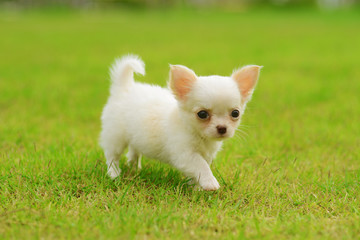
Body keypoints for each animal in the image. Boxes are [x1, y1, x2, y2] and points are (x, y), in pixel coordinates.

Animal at [99, 54, 262, 191]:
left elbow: (197, 171)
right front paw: (210, 183)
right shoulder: (185, 154)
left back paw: (134, 167)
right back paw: (114, 174)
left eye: (235, 113)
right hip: (115, 137)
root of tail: (124, 88)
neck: (199, 136)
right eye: (202, 114)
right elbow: (201, 166)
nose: (222, 128)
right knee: (112, 157)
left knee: (133, 151)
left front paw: (195, 187)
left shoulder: (206, 155)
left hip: (135, 136)